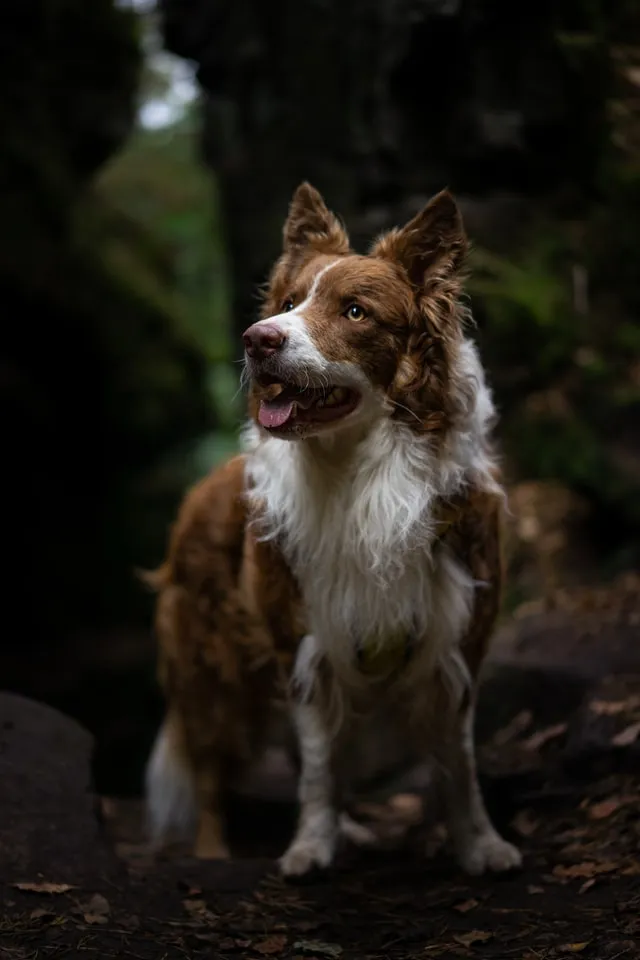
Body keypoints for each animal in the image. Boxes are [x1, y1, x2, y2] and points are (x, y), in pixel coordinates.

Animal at [146, 182, 524, 876]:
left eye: (355, 311)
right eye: (288, 303)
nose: (257, 339)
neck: (361, 479)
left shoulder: (459, 639)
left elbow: (458, 765)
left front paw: (478, 844)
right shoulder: (305, 639)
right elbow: (319, 766)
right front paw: (309, 847)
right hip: (210, 664)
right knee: (212, 772)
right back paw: (214, 851)